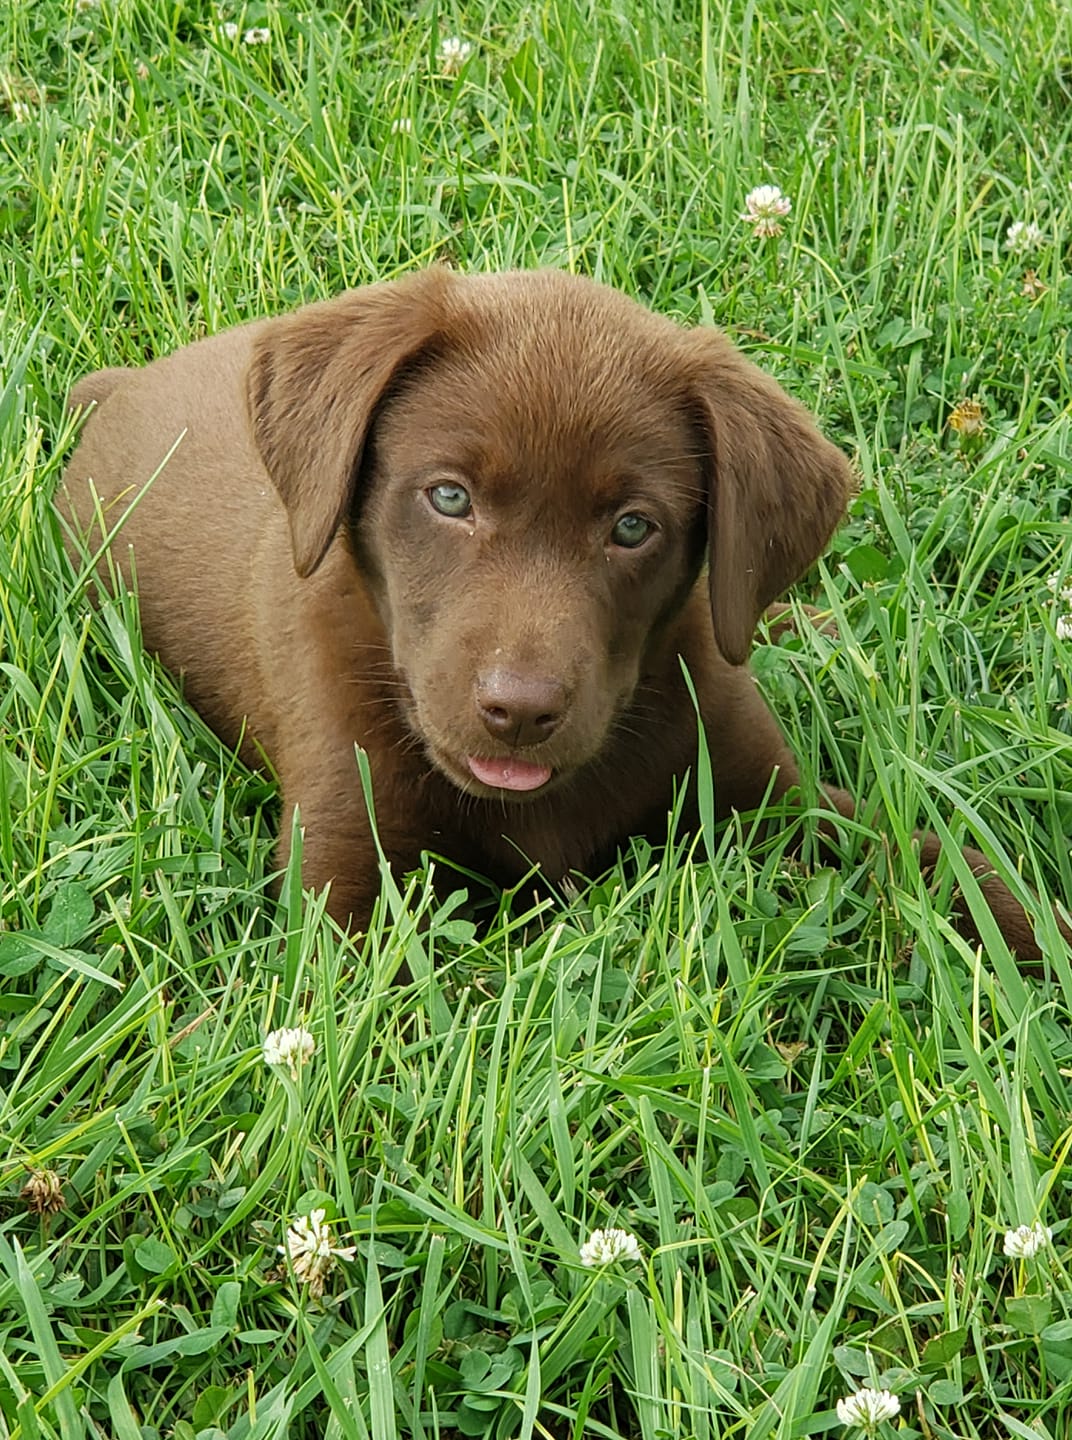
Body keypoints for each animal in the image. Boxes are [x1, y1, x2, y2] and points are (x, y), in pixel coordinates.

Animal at [62, 272, 1060, 956]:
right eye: (450, 497)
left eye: (632, 527)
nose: (520, 710)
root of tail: (125, 383)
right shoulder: (344, 877)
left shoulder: (776, 797)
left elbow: (935, 858)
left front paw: (1036, 936)